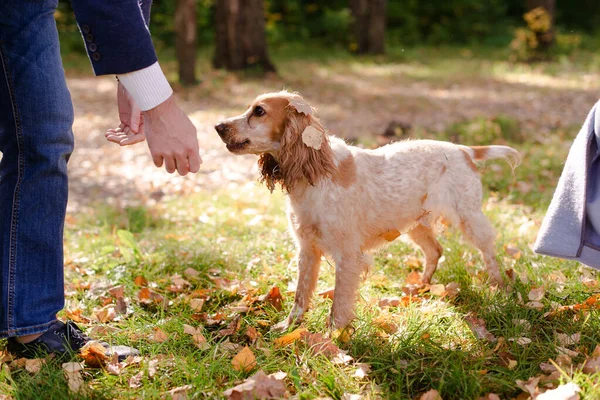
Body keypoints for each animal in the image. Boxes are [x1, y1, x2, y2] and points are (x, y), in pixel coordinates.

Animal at [216, 91, 520, 332]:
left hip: (469, 217)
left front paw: (331, 342)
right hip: (416, 225)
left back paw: (500, 288)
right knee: (435, 251)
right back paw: (419, 289)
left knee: (488, 251)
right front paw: (288, 328)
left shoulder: (348, 256)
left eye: (259, 111)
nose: (218, 126)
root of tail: (464, 149)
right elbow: (301, 297)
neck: (316, 173)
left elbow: (338, 306)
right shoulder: (307, 250)